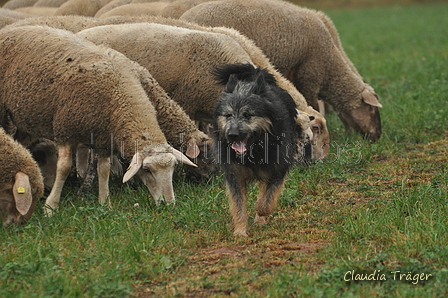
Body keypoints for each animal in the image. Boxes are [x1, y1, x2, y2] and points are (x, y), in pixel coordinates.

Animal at [0, 24, 197, 213]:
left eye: (173, 168)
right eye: (147, 170)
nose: (168, 204)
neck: (119, 95)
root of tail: (8, 29)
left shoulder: (103, 140)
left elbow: (104, 170)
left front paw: (105, 204)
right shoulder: (66, 128)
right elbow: (64, 168)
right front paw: (51, 207)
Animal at [180, 0, 384, 141]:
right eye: (372, 110)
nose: (377, 137)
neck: (330, 66)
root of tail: (184, 18)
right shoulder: (310, 76)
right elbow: (314, 105)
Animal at [212, 64, 300, 236]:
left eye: (247, 115)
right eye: (228, 115)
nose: (232, 135)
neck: (254, 150)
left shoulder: (277, 170)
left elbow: (266, 202)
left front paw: (260, 213)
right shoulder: (235, 176)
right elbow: (238, 206)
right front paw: (240, 232)